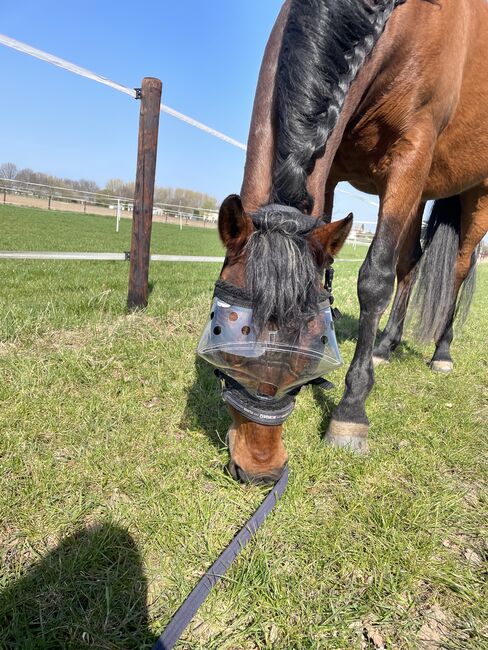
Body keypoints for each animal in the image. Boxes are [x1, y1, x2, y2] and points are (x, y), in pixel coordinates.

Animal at [208, 0, 486, 480]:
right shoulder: (333, 165)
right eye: (229, 350)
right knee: (410, 263)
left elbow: (374, 279)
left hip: (475, 192)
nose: (262, 469)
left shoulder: (413, 151)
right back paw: (386, 347)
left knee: (458, 268)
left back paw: (442, 352)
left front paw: (351, 411)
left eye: (306, 353)